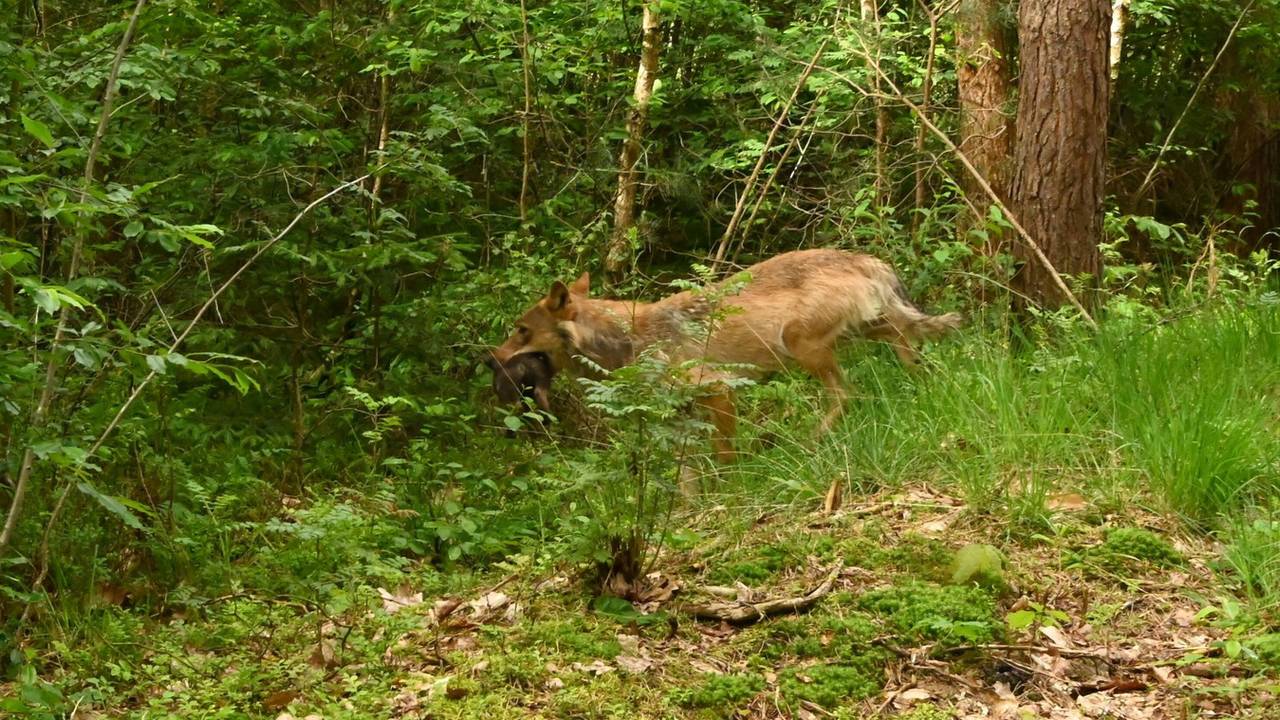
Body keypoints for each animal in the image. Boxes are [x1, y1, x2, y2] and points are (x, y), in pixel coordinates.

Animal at [489, 249, 960, 462]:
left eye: (520, 330)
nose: (490, 358)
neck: (629, 341)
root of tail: (865, 258)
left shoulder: (719, 390)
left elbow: (723, 456)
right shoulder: (681, 414)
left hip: (802, 346)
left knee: (847, 394)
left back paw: (810, 442)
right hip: (854, 336)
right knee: (904, 337)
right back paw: (921, 380)